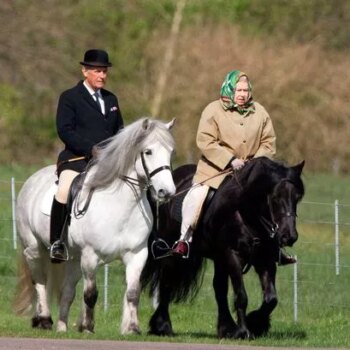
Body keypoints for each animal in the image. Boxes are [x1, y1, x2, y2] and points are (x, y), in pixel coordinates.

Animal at [15, 117, 176, 334]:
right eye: (148, 151)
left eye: (170, 152)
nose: (166, 192)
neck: (120, 205)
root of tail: (32, 179)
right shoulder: (90, 255)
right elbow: (91, 294)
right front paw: (88, 327)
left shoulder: (137, 254)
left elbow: (133, 293)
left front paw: (133, 328)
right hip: (34, 249)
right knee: (39, 281)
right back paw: (44, 320)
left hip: (73, 259)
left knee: (67, 291)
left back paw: (62, 326)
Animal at [141, 156, 304, 340]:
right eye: (275, 197)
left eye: (297, 197)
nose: (289, 236)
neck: (246, 213)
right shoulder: (232, 255)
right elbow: (241, 296)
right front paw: (244, 331)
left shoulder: (264, 258)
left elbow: (271, 299)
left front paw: (255, 323)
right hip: (172, 252)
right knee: (167, 283)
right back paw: (163, 326)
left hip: (219, 259)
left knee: (218, 288)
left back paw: (226, 328)